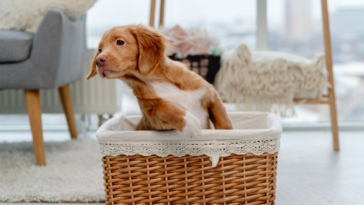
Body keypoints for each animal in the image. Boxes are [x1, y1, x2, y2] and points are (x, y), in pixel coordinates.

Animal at [86, 24, 232, 138]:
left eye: (120, 42)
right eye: (99, 49)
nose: (98, 60)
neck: (154, 79)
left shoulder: (211, 94)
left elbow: (223, 120)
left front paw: (227, 135)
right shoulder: (154, 120)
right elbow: (163, 106)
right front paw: (189, 123)